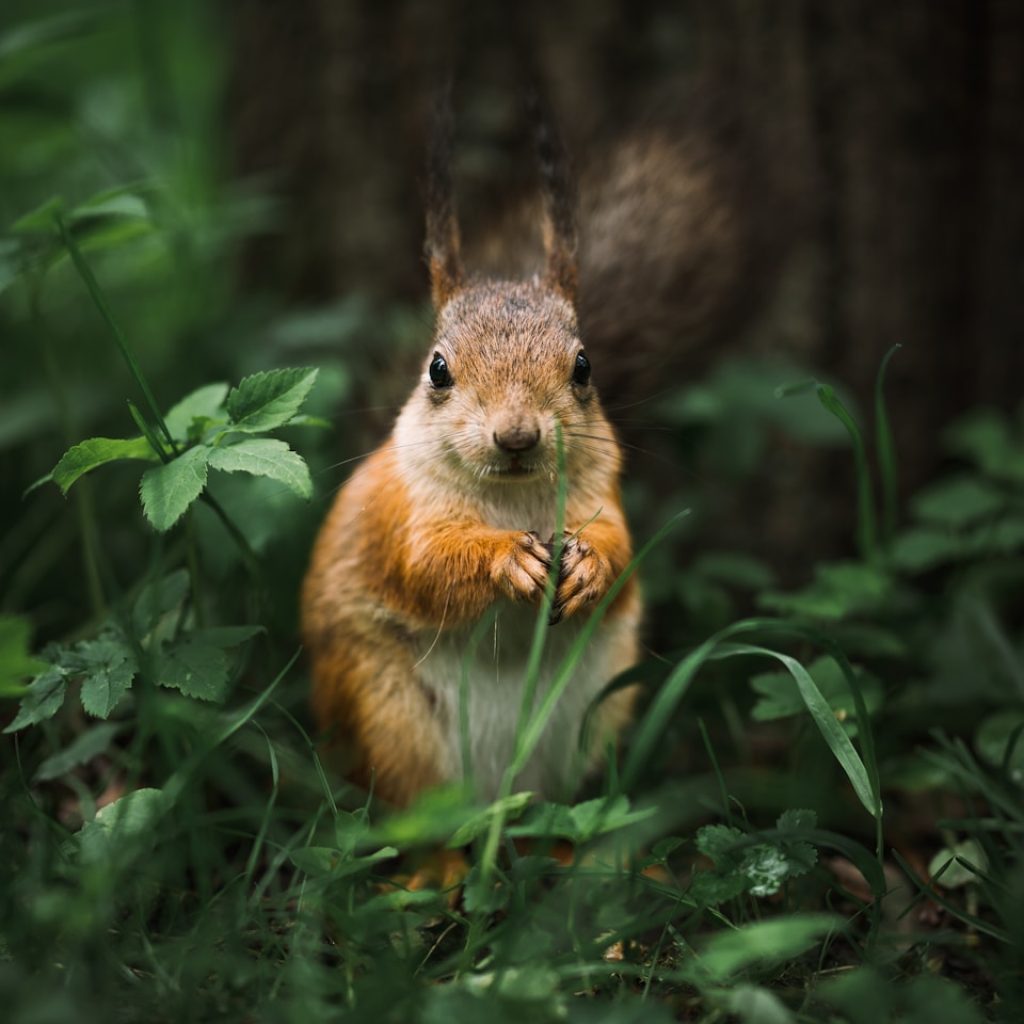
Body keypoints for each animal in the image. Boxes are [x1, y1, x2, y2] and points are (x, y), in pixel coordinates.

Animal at [301, 95, 641, 808]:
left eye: (584, 367)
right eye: (437, 369)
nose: (516, 437)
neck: (512, 499)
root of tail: (499, 790)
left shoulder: (603, 491)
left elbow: (622, 545)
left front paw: (590, 565)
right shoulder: (399, 515)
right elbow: (427, 566)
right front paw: (505, 559)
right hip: (384, 710)